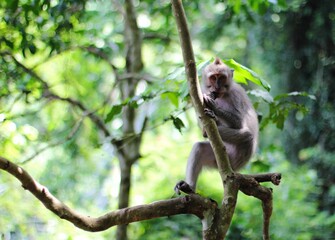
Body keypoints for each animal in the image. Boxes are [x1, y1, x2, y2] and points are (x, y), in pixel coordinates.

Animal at [176, 56, 260, 193]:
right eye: (213, 77)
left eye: (221, 78)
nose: (217, 86)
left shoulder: (236, 94)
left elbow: (238, 123)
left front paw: (214, 108)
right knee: (199, 148)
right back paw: (189, 186)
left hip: (237, 157)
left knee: (247, 136)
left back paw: (206, 132)